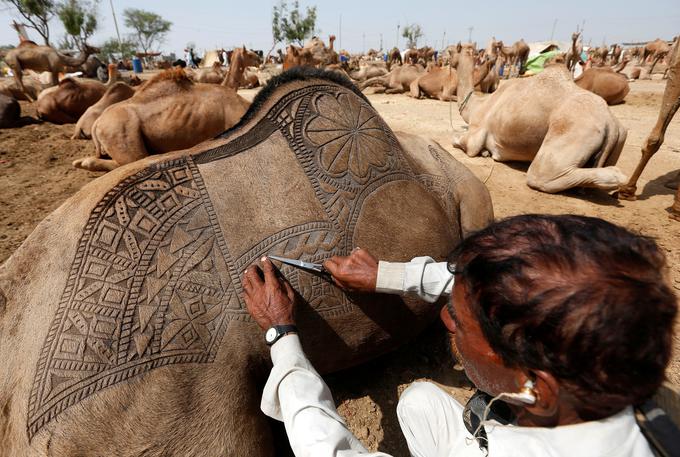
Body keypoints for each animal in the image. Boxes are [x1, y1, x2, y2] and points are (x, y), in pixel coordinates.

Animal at [452, 43, 628, 191]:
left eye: (450, 50)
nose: (448, 60)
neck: (477, 106)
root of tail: (611, 123)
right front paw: (486, 152)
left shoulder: (475, 135)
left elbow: (457, 141)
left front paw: (483, 151)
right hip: (621, 136)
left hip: (573, 131)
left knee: (541, 175)